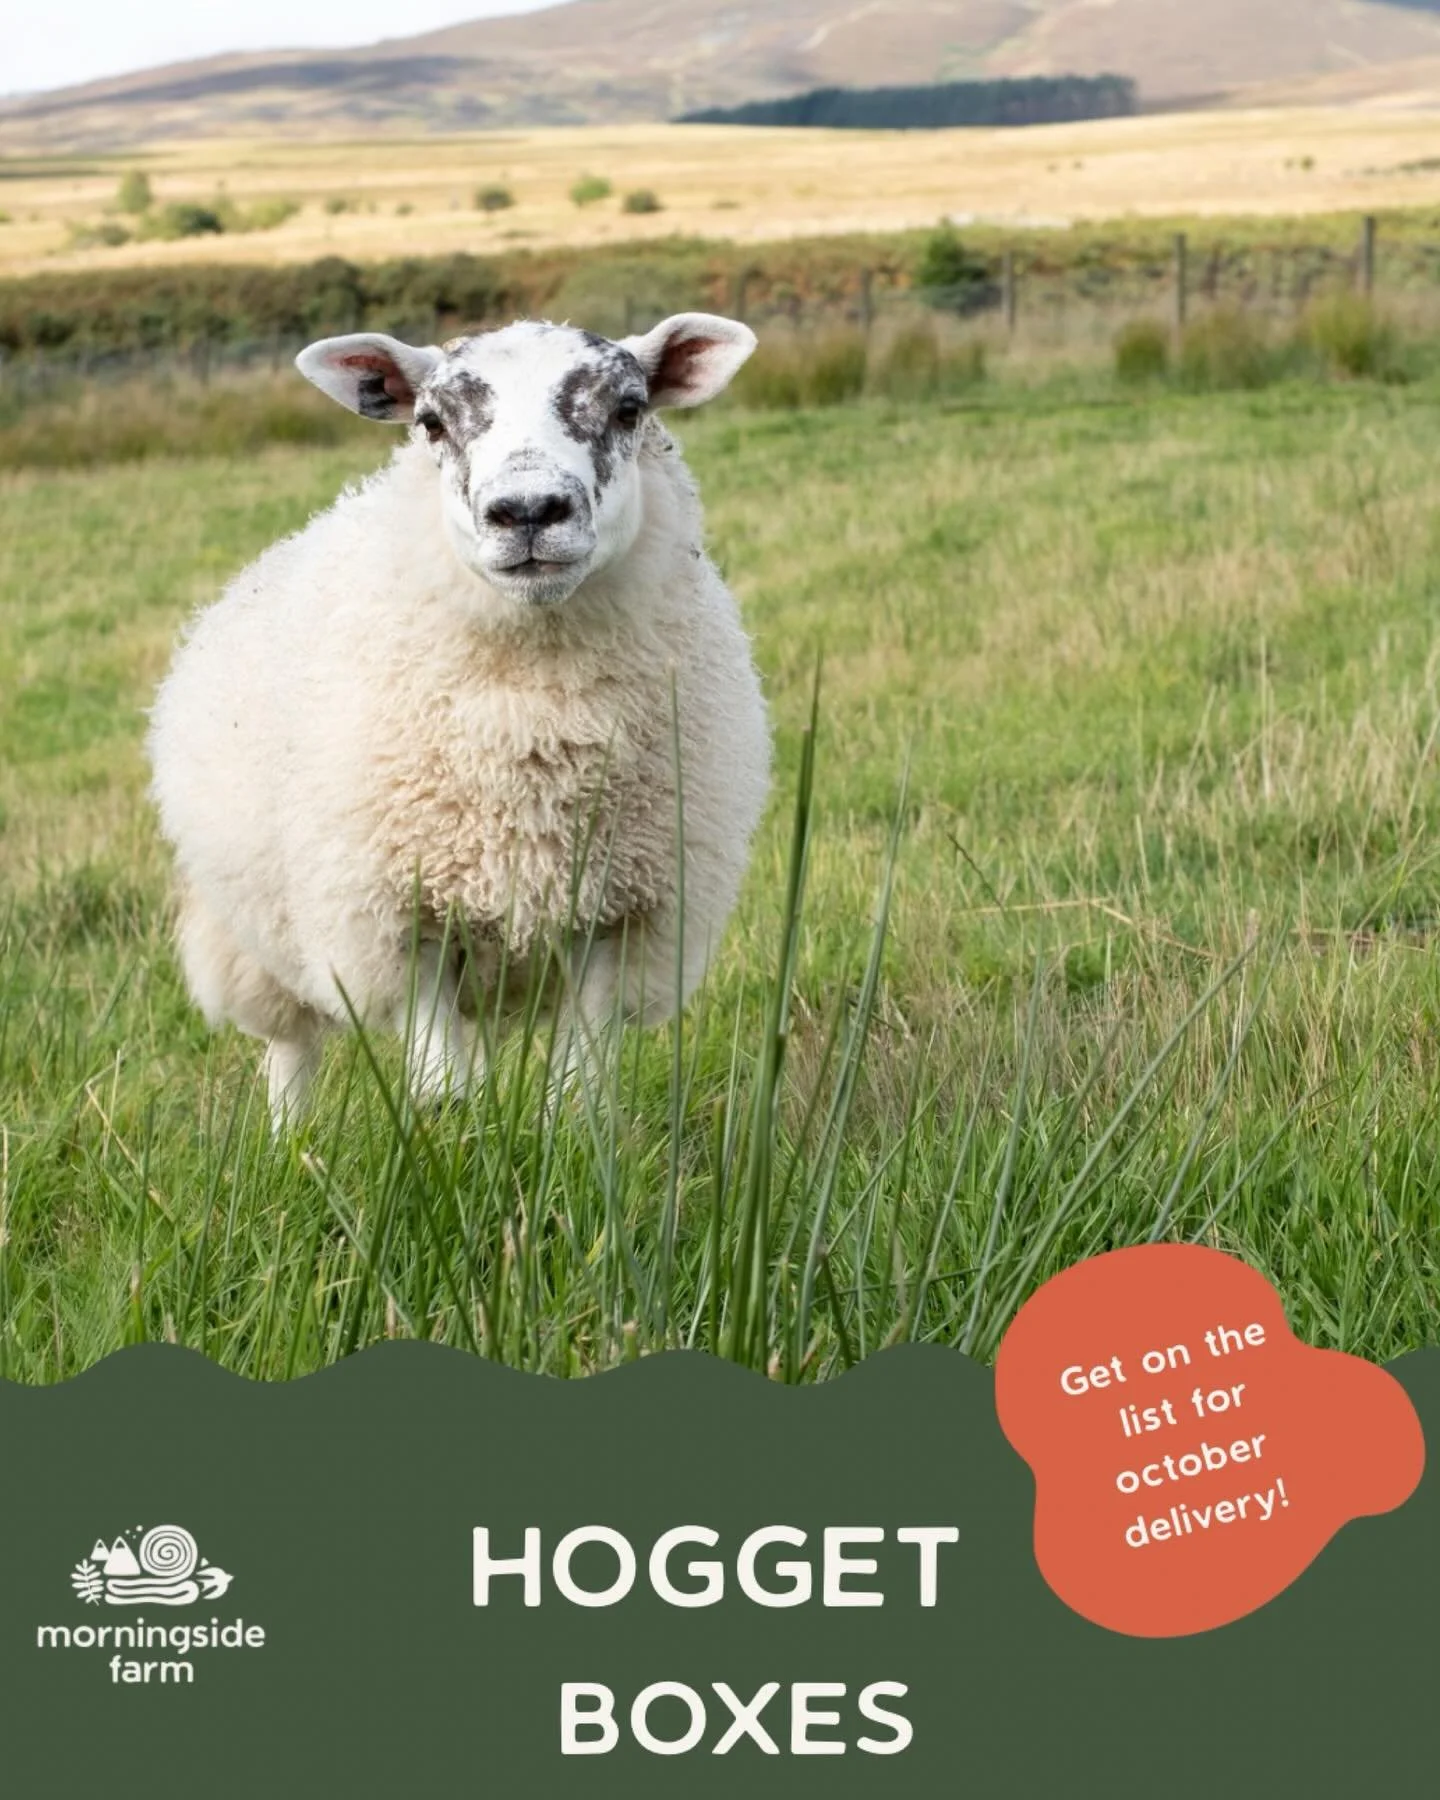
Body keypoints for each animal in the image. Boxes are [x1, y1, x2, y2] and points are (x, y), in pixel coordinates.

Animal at [147, 312, 771, 1126]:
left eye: (630, 408)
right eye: (431, 423)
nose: (528, 510)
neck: (531, 732)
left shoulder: (621, 915)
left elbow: (577, 1088)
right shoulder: (398, 923)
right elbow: (442, 1090)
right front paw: (450, 1143)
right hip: (258, 940)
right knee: (292, 1047)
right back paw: (290, 1139)